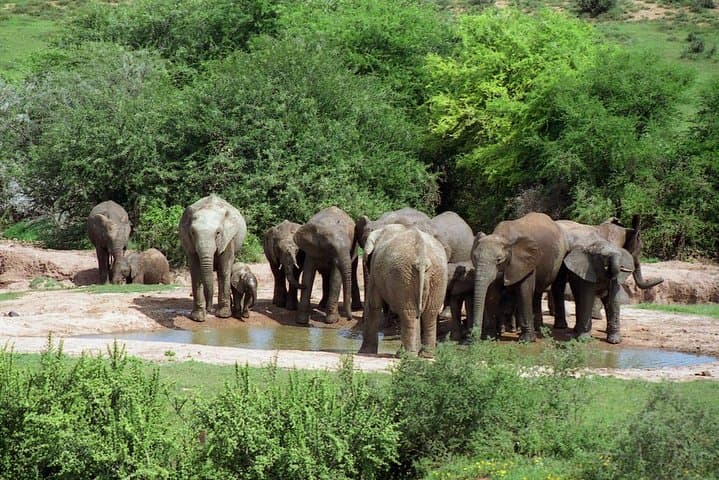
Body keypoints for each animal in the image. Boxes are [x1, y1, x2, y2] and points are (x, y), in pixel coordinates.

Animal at [359, 224, 448, 357]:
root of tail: (422, 259)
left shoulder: (374, 269)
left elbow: (373, 304)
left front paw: (363, 352)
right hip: (436, 275)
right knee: (429, 313)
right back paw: (425, 355)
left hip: (403, 275)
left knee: (409, 313)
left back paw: (405, 355)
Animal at [472, 212, 569, 342]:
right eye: (474, 257)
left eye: (499, 260)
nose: (472, 338)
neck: (504, 237)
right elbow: (492, 294)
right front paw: (489, 337)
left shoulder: (526, 262)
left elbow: (524, 292)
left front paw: (527, 340)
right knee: (537, 293)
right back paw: (538, 328)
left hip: (562, 257)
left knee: (557, 287)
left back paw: (558, 327)